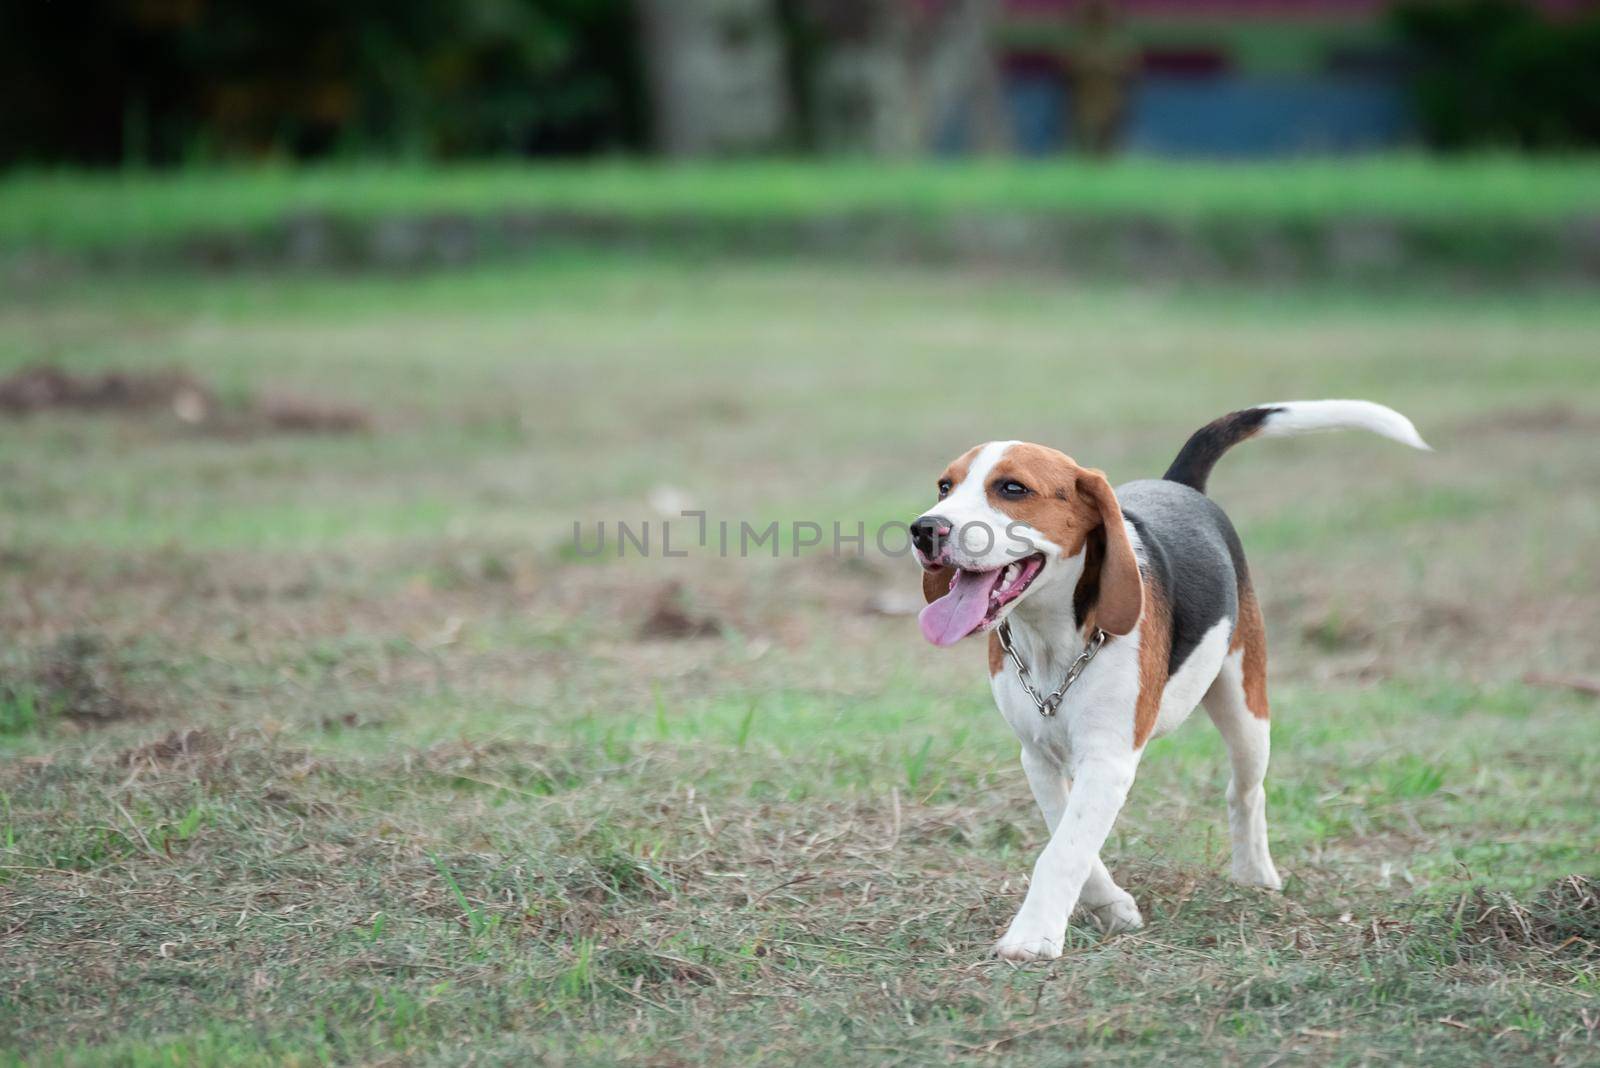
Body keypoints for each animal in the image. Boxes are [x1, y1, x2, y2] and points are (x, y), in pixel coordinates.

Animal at [908, 398, 1433, 959]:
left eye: (1011, 488)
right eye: (944, 486)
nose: (924, 529)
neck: (1054, 638)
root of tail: (1180, 485)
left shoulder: (1109, 758)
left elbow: (1063, 851)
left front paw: (1032, 937)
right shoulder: (1038, 755)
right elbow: (1068, 836)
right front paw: (1112, 907)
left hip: (1246, 709)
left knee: (1246, 790)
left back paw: (1255, 873)